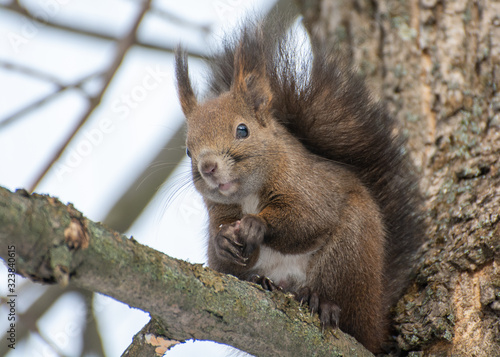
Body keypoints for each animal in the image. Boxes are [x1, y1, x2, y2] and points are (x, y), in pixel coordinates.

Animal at [174, 19, 424, 354]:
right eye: (188, 151)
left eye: (242, 130)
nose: (208, 167)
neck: (249, 196)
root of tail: (375, 322)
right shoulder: (220, 214)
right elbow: (222, 264)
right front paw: (223, 242)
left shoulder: (309, 187)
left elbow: (308, 220)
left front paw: (256, 225)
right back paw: (266, 284)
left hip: (350, 253)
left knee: (345, 311)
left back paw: (321, 302)